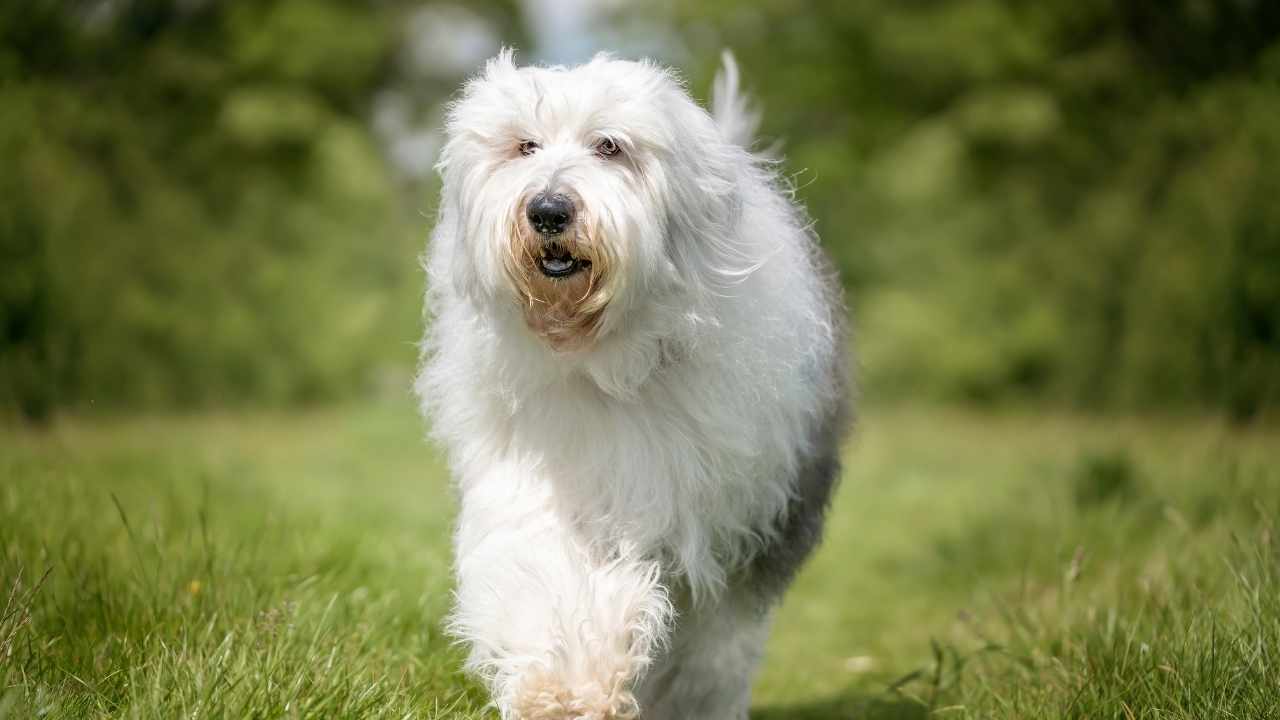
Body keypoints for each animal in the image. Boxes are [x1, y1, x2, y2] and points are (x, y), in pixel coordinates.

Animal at [417, 50, 849, 717]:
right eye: (524, 146)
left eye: (609, 146)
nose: (548, 211)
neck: (603, 362)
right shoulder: (536, 475)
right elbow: (540, 571)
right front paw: (560, 687)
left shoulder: (715, 514)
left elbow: (705, 640)